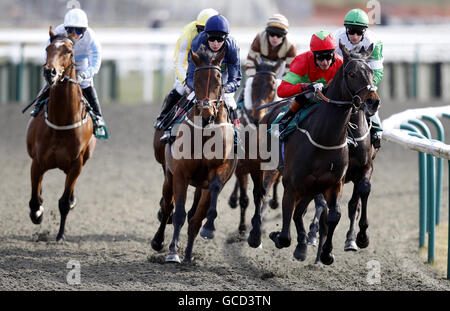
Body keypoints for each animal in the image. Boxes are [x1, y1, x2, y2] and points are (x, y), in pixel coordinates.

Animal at [25, 28, 96, 244]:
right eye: (47, 49)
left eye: (69, 52)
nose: (50, 72)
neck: (61, 123)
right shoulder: (37, 162)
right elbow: (34, 200)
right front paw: (37, 213)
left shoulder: (76, 165)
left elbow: (64, 202)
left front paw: (60, 235)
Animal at [150, 44, 237, 264]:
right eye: (196, 79)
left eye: (218, 79)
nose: (206, 113)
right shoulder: (181, 173)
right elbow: (178, 214)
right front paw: (173, 252)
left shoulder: (218, 172)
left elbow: (198, 217)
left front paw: (204, 234)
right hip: (169, 175)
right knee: (168, 207)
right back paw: (158, 240)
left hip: (198, 184)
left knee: (192, 214)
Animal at [229, 58, 282, 234]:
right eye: (254, 83)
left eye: (273, 87)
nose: (257, 116)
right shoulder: (242, 165)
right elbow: (245, 199)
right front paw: (242, 227)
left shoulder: (270, 168)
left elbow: (263, 193)